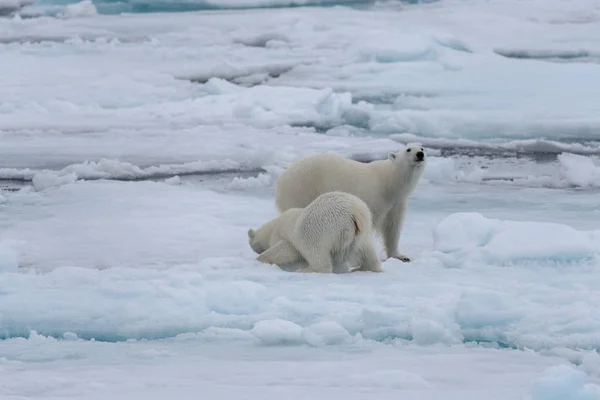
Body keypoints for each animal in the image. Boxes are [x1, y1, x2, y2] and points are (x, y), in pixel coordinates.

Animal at [247, 190, 380, 272]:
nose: (256, 251)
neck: (274, 226)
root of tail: (355, 212)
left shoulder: (281, 234)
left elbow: (288, 249)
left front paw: (261, 259)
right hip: (364, 230)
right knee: (367, 250)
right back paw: (366, 268)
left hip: (319, 225)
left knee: (313, 249)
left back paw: (305, 270)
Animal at [274, 147, 424, 262]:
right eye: (408, 149)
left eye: (422, 148)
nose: (420, 154)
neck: (389, 182)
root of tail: (282, 177)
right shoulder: (373, 196)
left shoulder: (397, 203)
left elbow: (392, 227)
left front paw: (401, 256)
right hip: (301, 190)